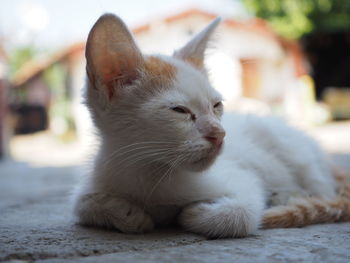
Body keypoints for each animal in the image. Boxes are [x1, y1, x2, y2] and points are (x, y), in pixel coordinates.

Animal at [74, 13, 350, 238]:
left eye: (216, 105)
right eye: (180, 111)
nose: (220, 134)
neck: (152, 173)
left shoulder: (242, 180)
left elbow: (244, 213)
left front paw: (194, 214)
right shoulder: (100, 176)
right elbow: (82, 204)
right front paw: (128, 213)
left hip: (292, 150)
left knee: (323, 190)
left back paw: (288, 195)